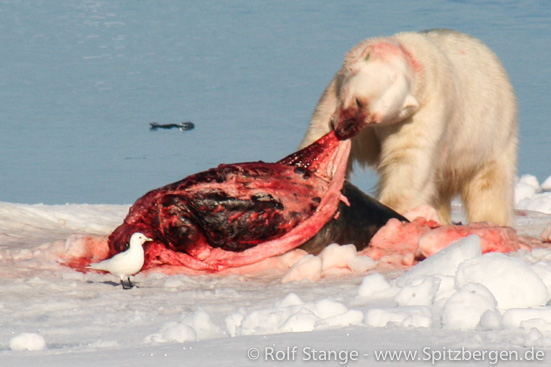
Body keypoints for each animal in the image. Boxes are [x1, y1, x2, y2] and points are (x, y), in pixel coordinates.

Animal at [300, 28, 520, 226]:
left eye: (375, 119)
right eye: (358, 101)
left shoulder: (423, 112)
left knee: (489, 188)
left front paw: (390, 208)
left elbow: (408, 159)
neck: (413, 55)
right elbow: (320, 131)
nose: (343, 130)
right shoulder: (335, 92)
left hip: (491, 135)